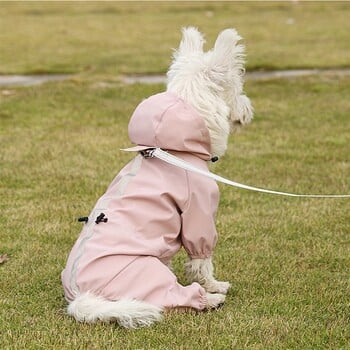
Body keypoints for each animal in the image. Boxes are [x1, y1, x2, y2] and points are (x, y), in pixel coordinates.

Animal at [61, 26, 253, 328]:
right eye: (238, 86)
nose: (248, 109)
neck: (172, 148)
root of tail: (81, 299)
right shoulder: (199, 213)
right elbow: (201, 259)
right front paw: (214, 284)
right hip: (148, 273)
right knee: (175, 299)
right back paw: (210, 299)